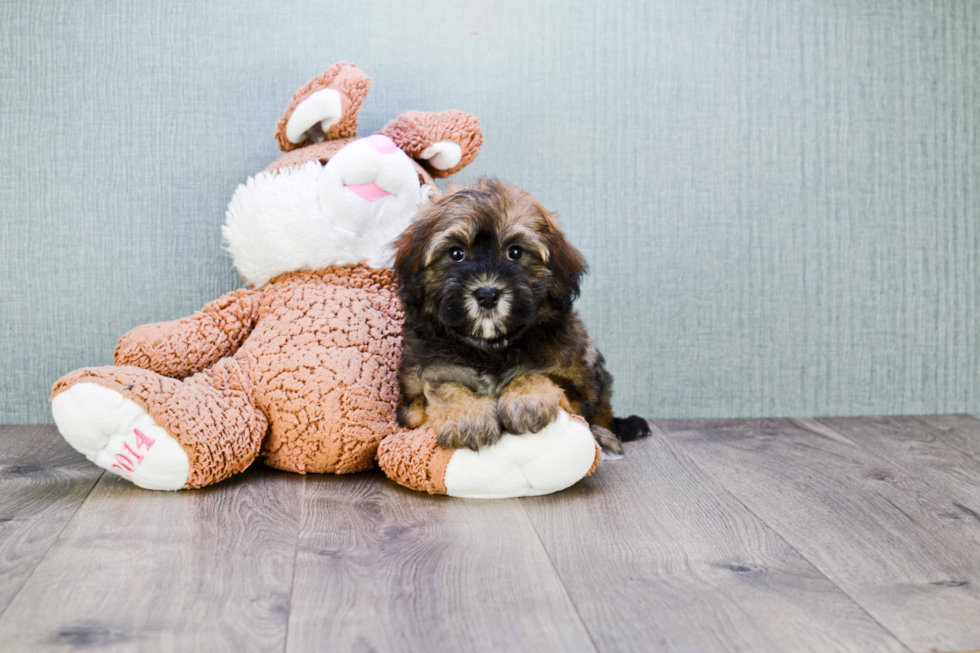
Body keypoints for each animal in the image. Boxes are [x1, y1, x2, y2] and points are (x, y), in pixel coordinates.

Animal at [390, 178, 652, 454]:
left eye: (515, 252)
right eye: (456, 253)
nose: (487, 294)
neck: (489, 347)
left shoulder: (576, 383)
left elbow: (537, 373)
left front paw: (527, 401)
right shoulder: (416, 393)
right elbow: (444, 386)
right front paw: (468, 416)